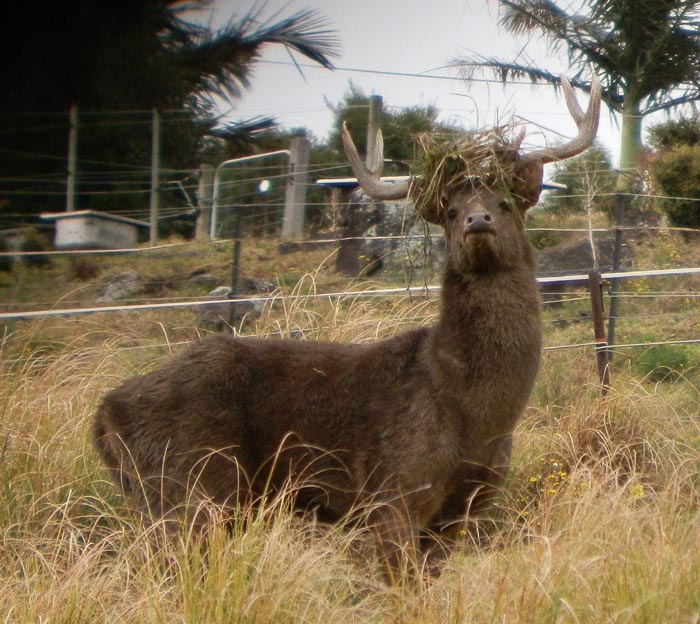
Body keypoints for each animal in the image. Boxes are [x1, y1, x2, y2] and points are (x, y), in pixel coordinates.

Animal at [93, 75, 601, 579]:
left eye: (506, 203)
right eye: (450, 212)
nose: (478, 220)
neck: (473, 408)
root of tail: (106, 415)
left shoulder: (462, 507)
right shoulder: (392, 489)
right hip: (189, 485)